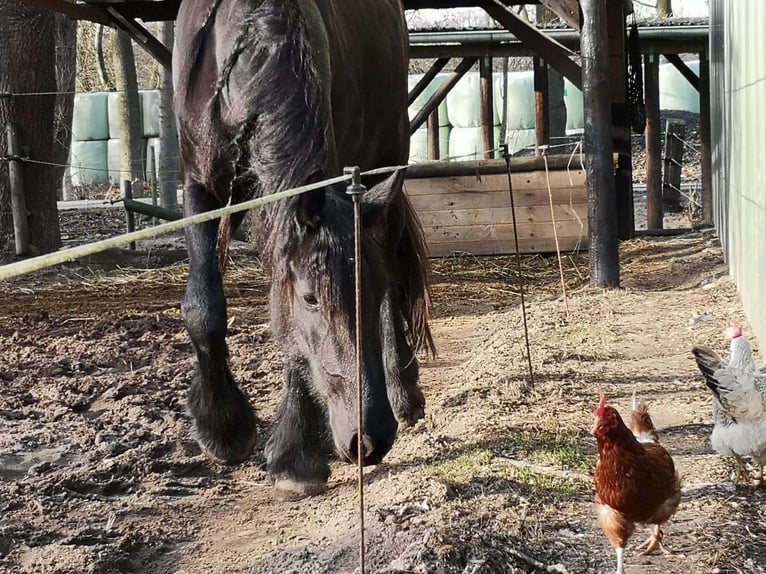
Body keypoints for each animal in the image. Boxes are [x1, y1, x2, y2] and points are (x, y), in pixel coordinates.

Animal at [172, 0, 435, 498]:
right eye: (311, 297)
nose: (371, 437)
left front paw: (297, 458)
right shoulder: (201, 186)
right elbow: (203, 306)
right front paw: (223, 428)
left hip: (385, 165)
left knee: (393, 267)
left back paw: (403, 390)